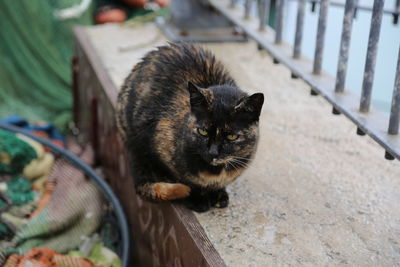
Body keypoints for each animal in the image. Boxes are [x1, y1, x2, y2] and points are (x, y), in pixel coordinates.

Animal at [117, 43, 264, 213]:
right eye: (203, 131)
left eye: (232, 136)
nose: (213, 152)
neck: (215, 172)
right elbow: (183, 180)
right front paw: (197, 199)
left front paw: (218, 194)